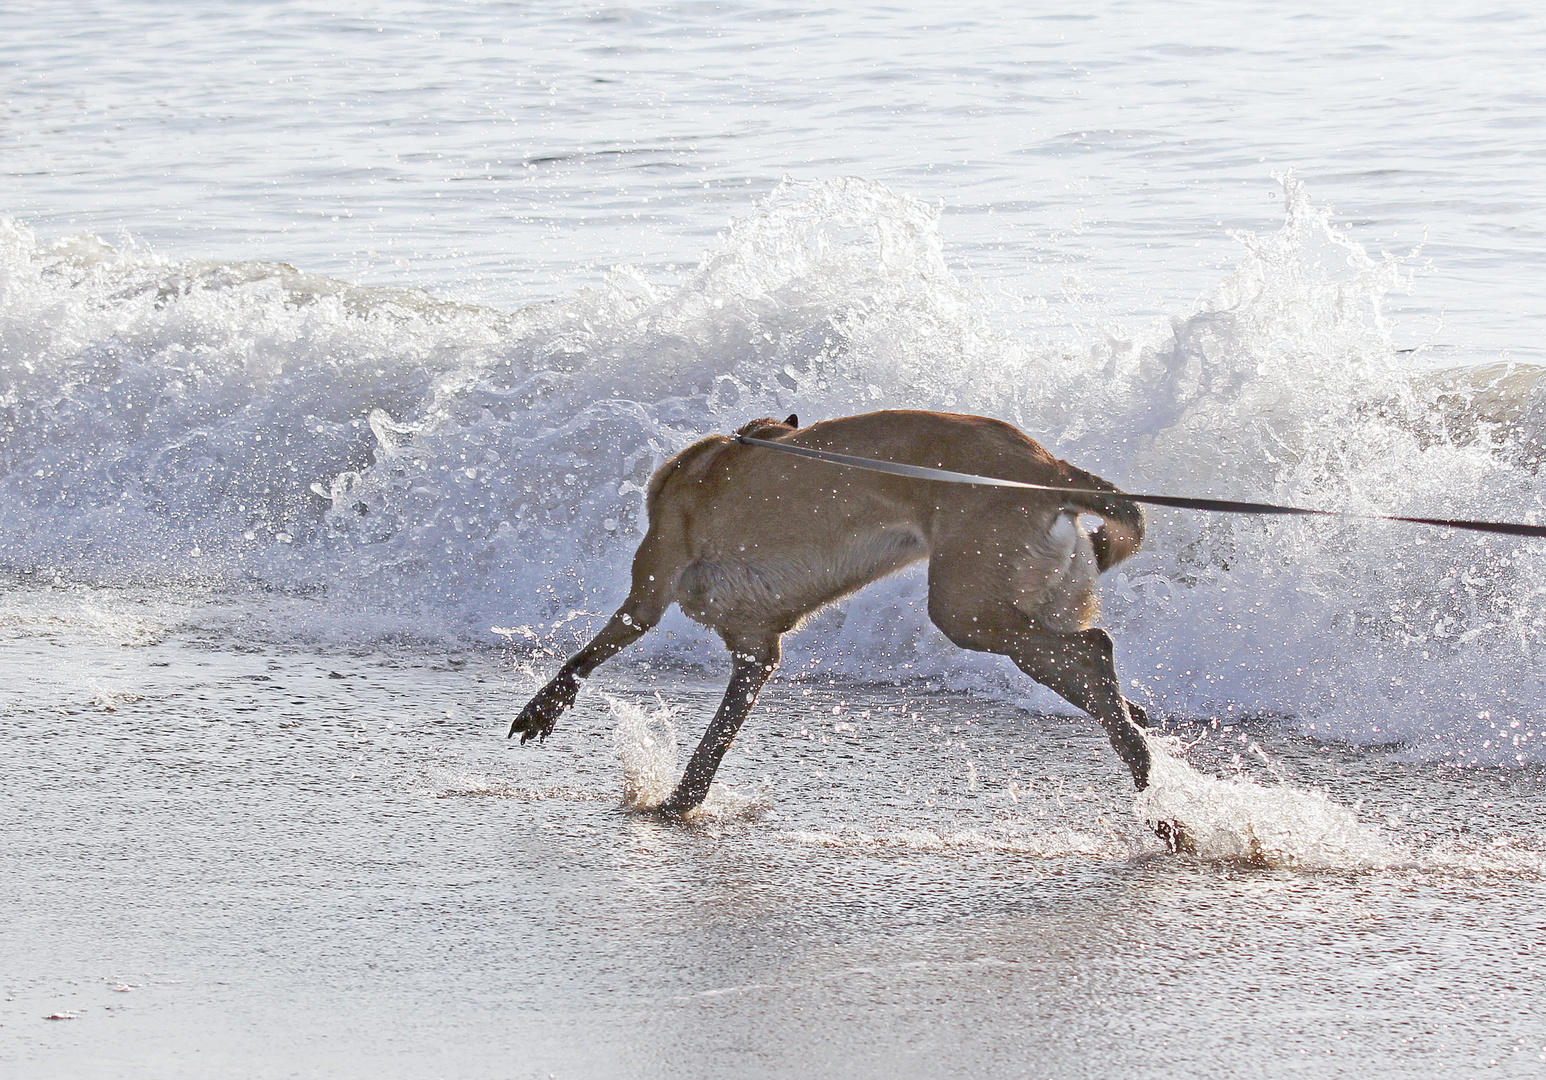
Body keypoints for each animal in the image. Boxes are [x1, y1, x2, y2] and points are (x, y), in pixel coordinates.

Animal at [513, 410, 1156, 815]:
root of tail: (1051, 471)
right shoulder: (755, 653)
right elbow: (713, 744)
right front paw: (682, 801)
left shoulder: (648, 594)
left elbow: (591, 652)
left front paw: (546, 705)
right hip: (1020, 602)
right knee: (1092, 656)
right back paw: (1141, 752)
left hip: (968, 607)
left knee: (1093, 652)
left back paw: (1142, 760)